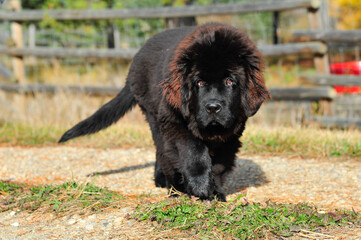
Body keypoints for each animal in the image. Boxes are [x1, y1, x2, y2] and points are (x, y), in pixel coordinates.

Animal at [59, 22, 268, 202]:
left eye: (230, 81)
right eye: (200, 82)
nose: (213, 107)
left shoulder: (232, 132)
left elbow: (218, 165)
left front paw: (215, 193)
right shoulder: (173, 122)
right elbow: (194, 153)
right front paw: (199, 187)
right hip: (153, 116)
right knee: (163, 151)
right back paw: (173, 189)